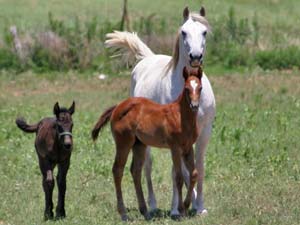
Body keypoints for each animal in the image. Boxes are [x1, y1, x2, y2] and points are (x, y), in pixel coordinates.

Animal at [92, 67, 203, 221]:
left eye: (200, 88)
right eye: (187, 88)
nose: (194, 106)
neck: (180, 116)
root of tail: (118, 106)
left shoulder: (188, 148)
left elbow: (194, 174)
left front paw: (186, 207)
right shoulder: (175, 148)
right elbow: (179, 177)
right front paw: (180, 209)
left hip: (139, 145)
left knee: (135, 171)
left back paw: (145, 211)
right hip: (123, 143)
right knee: (117, 170)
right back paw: (123, 213)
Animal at [105, 6, 216, 218]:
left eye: (205, 32)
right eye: (183, 32)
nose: (195, 57)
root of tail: (147, 59)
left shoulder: (203, 133)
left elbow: (199, 168)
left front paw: (200, 206)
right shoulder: (175, 138)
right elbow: (176, 172)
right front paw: (175, 209)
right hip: (143, 142)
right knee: (145, 168)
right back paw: (152, 205)